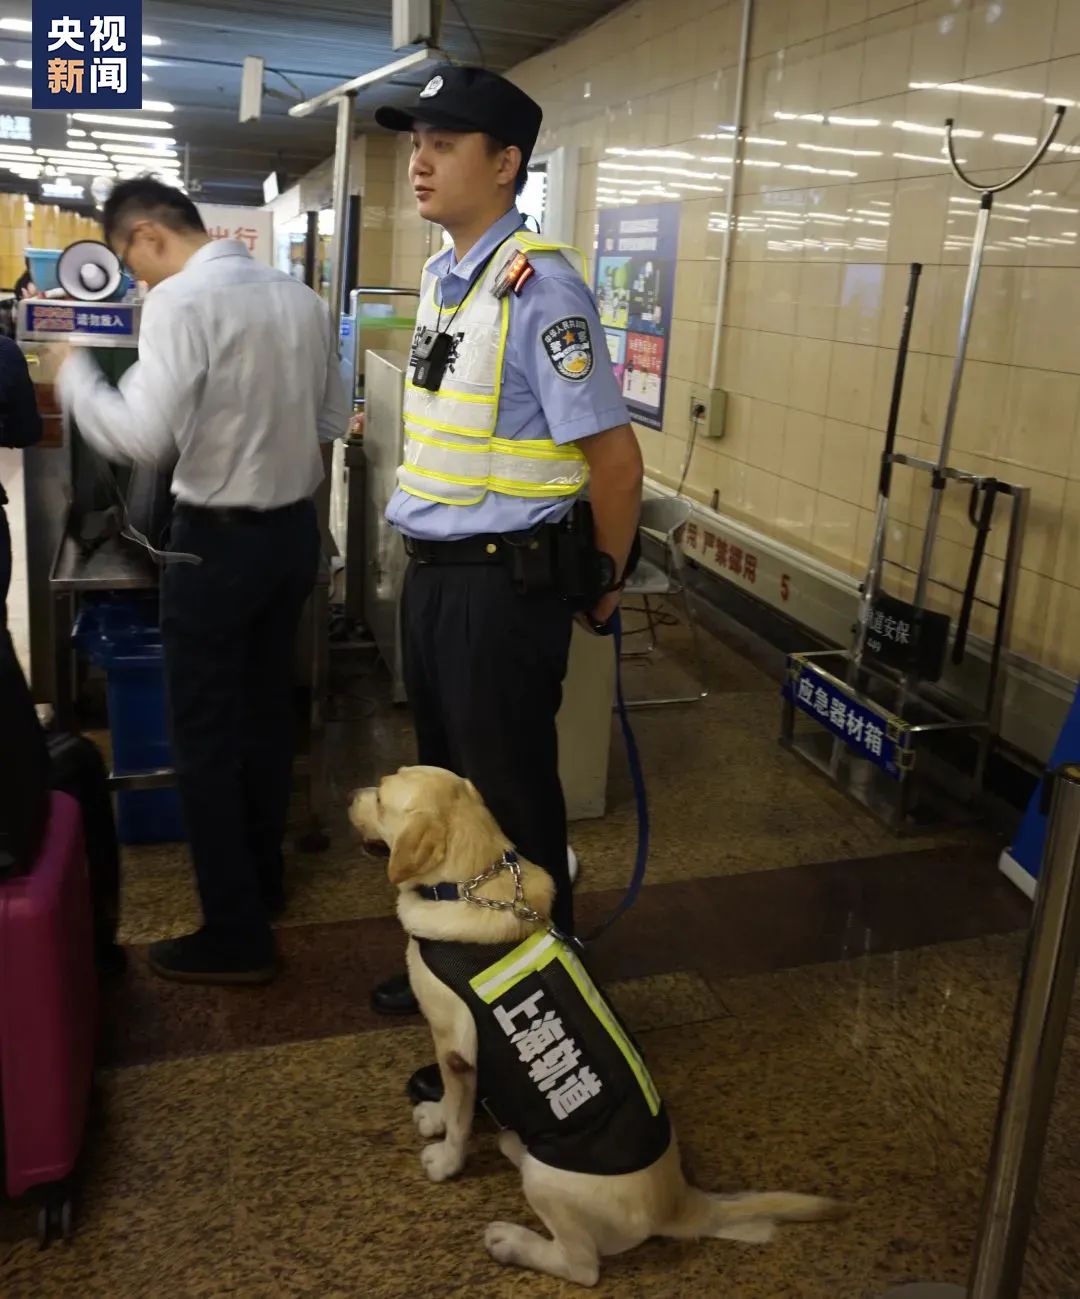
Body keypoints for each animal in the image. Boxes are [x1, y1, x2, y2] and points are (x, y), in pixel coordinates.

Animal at [353, 763, 836, 1283]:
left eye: (379, 799)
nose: (351, 794)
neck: (472, 882)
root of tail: (680, 1203)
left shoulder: (454, 1048)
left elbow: (460, 1116)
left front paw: (445, 1159)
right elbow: (453, 1100)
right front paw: (437, 1116)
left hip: (549, 1185)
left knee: (581, 1265)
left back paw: (512, 1241)